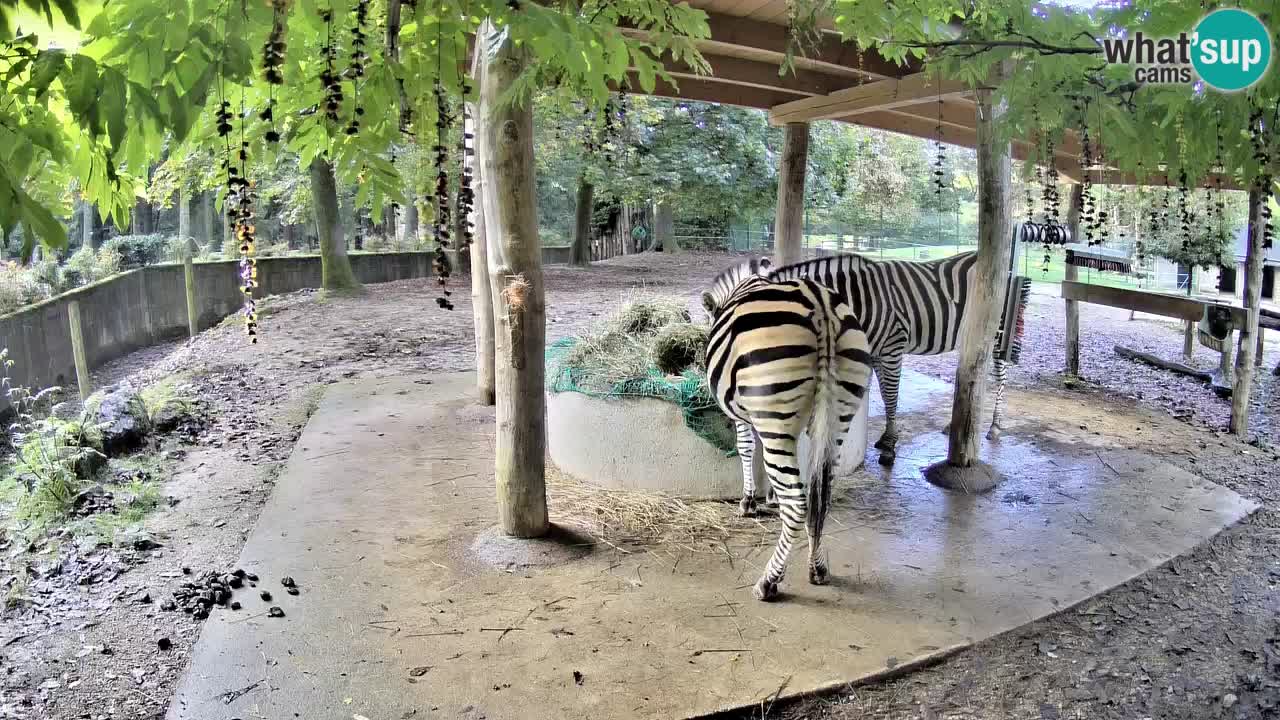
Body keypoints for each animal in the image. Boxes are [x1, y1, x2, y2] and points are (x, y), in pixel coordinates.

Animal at [701, 260, 880, 597]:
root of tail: (821, 306)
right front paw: (771, 496)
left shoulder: (747, 416)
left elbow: (747, 449)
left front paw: (749, 502)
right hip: (838, 415)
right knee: (820, 497)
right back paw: (817, 568)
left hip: (774, 410)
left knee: (798, 503)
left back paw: (769, 581)